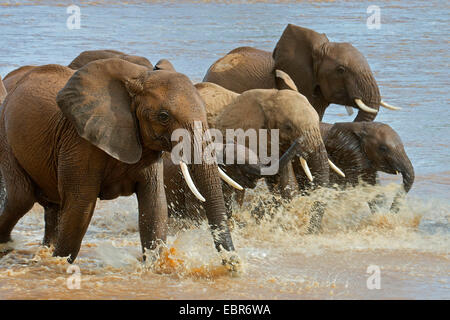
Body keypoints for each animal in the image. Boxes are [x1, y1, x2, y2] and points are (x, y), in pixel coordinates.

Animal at [0, 58, 243, 268]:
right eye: (163, 116)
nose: (235, 266)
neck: (137, 80)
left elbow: (154, 206)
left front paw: (154, 266)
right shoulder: (80, 141)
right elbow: (80, 206)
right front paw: (59, 264)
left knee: (52, 206)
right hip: (5, 136)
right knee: (20, 198)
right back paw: (8, 247)